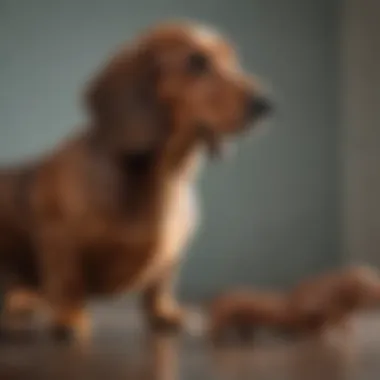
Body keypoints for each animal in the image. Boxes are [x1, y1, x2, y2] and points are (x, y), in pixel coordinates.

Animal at [0, 22, 272, 340]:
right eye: (196, 62)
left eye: (233, 59)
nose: (266, 105)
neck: (166, 177)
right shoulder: (57, 238)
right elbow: (67, 282)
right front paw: (69, 319)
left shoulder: (172, 260)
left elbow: (160, 287)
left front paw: (166, 314)